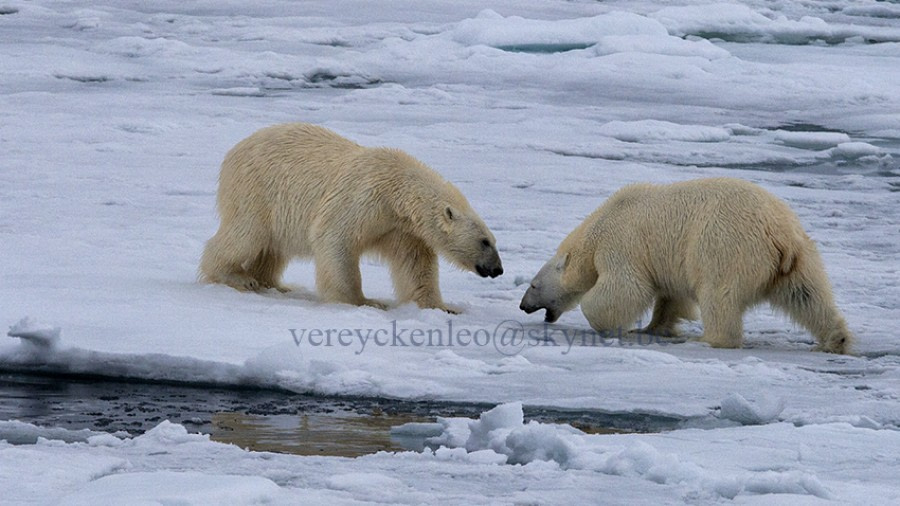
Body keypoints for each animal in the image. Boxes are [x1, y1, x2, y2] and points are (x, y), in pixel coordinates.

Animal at [199, 123, 503, 311]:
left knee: (274, 248)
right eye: (485, 241)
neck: (397, 191)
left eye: (492, 240)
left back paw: (274, 284)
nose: (498, 269)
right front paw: (362, 301)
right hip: (257, 190)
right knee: (246, 234)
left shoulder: (400, 228)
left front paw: (441, 307)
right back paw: (236, 277)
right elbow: (335, 239)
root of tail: (233, 151)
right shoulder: (363, 198)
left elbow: (415, 264)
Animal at [519, 177, 853, 354]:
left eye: (533, 284)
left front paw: (613, 324)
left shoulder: (621, 244)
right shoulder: (664, 261)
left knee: (719, 295)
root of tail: (779, 234)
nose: (523, 306)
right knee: (807, 295)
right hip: (798, 258)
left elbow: (624, 288)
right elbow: (670, 295)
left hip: (725, 247)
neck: (597, 228)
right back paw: (835, 339)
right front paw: (653, 328)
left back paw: (707, 339)